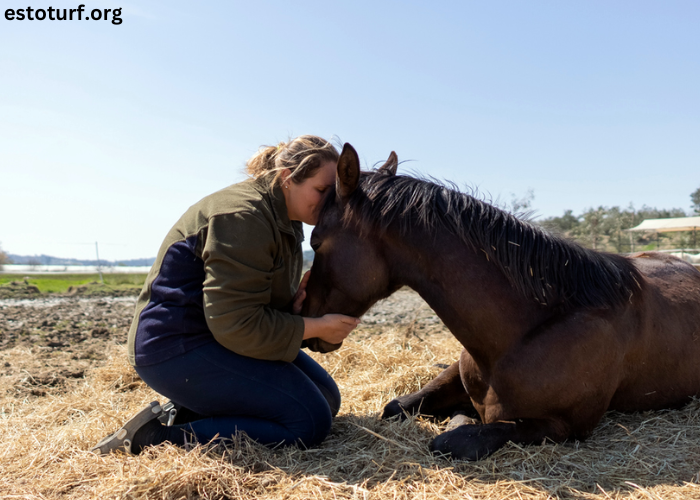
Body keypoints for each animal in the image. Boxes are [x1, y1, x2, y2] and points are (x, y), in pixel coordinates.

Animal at [302, 143, 700, 458]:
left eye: (316, 240)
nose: (305, 315)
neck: (525, 332)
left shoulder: (561, 425)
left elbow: (453, 438)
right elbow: (396, 406)